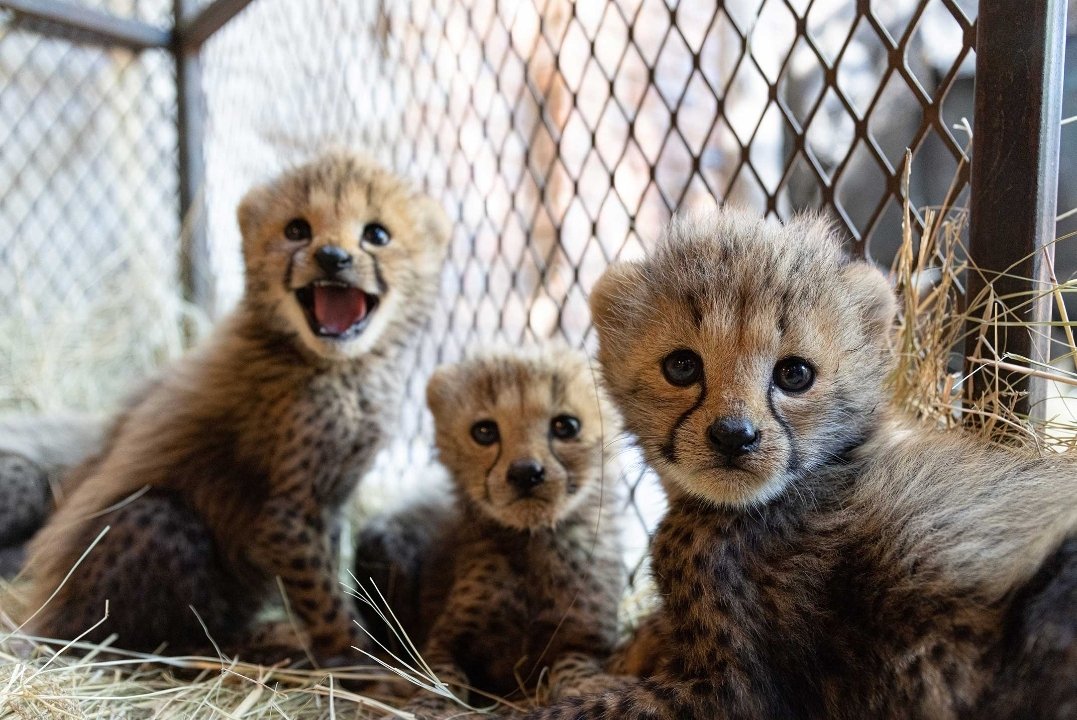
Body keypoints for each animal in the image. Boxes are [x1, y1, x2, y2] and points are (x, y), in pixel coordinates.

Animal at [19, 152, 451, 665]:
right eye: (297, 230)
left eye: (377, 234)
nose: (333, 257)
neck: (340, 366)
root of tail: (45, 618)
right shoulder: (285, 518)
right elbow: (321, 595)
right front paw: (350, 650)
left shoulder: (326, 503)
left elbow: (328, 571)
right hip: (153, 521)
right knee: (141, 637)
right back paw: (246, 642)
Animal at [354, 346, 628, 718]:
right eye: (484, 431)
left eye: (566, 426)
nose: (526, 472)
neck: (531, 544)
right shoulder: (445, 640)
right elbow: (442, 674)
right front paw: (429, 704)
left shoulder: (584, 639)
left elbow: (573, 662)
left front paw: (590, 686)